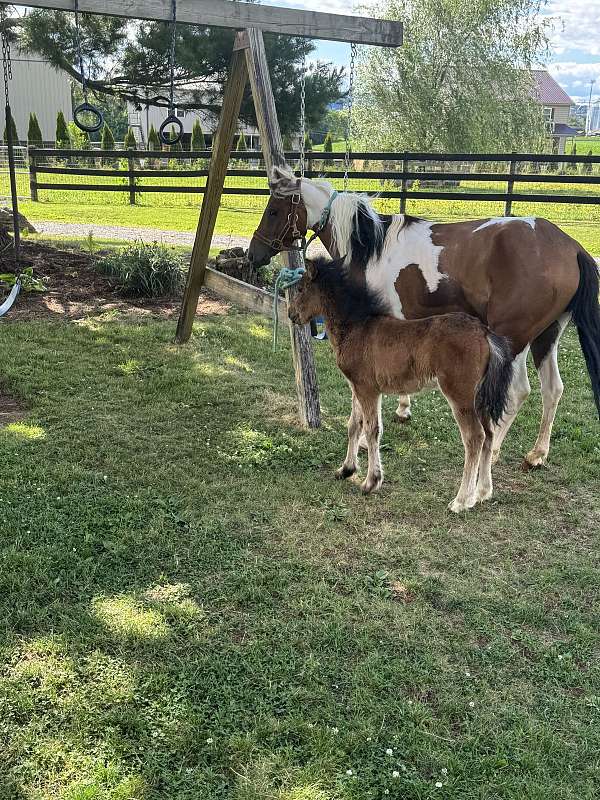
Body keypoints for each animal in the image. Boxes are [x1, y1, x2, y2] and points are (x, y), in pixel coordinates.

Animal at [248, 165, 600, 469]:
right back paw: (536, 455)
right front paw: (402, 410)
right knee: (552, 389)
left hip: (514, 339)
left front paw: (376, 429)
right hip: (546, 337)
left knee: (516, 392)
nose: (254, 254)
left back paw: (494, 452)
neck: (370, 247)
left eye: (274, 210)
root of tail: (570, 247)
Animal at [288, 256, 513, 512]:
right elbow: (354, 425)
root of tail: (485, 333)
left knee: (475, 438)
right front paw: (346, 470)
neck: (357, 327)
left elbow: (372, 430)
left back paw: (461, 500)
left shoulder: (368, 389)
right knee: (489, 434)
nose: (291, 314)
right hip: (479, 398)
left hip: (461, 395)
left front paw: (370, 482)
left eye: (301, 289)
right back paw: (482, 492)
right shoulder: (356, 387)